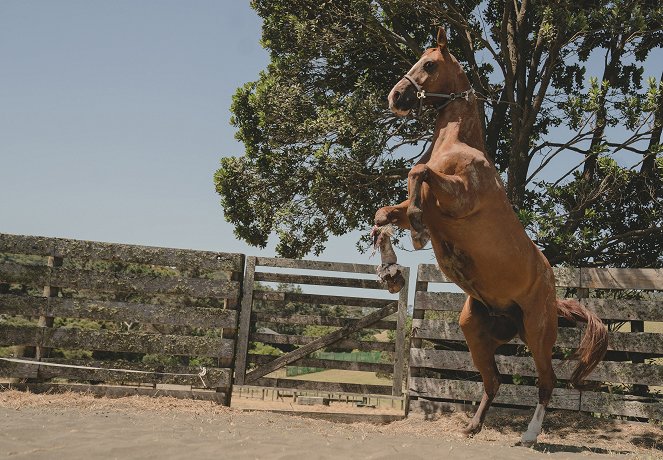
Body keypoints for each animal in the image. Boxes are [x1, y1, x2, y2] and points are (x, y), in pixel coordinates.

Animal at [374, 27, 608, 446]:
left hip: (538, 333)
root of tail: (552, 297)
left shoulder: (457, 199)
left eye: (428, 64)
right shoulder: (430, 206)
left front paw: (414, 233)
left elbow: (417, 173)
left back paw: (529, 435)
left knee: (547, 382)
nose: (395, 97)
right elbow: (384, 214)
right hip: (475, 330)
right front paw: (389, 271)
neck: (457, 145)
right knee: (494, 380)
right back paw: (473, 425)